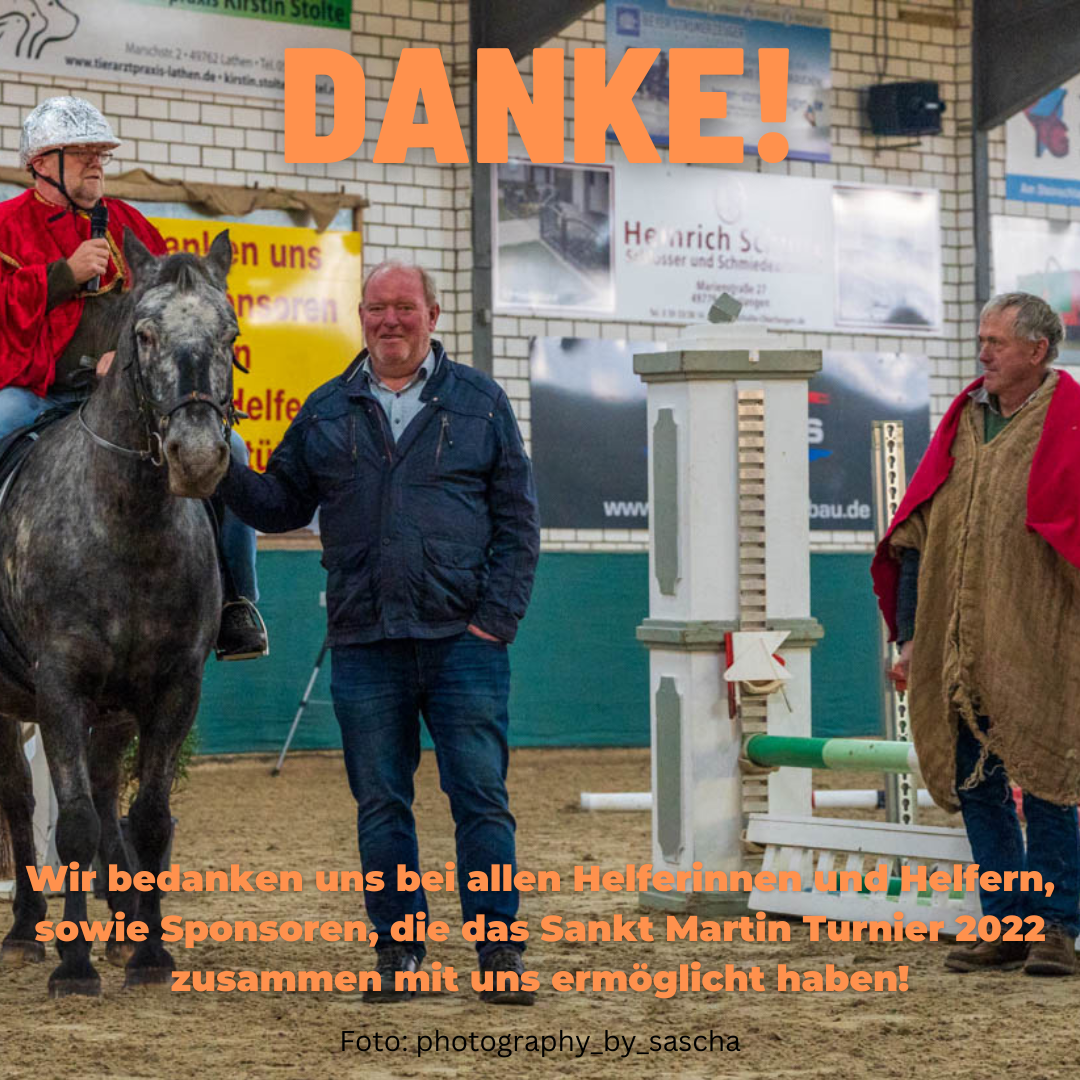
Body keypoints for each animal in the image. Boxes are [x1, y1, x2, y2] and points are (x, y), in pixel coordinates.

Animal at [0, 229, 237, 997]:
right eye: (144, 333)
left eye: (230, 335)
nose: (197, 455)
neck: (126, 525)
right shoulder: (59, 688)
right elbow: (70, 823)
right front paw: (72, 965)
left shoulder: (173, 689)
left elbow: (150, 817)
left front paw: (149, 953)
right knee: (20, 797)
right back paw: (27, 929)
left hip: (112, 711)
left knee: (108, 796)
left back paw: (120, 922)